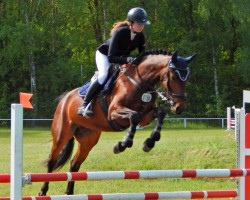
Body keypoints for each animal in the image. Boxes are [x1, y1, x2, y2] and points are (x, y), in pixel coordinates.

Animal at [38, 50, 195, 195]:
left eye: (187, 78)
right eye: (174, 76)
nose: (179, 107)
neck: (140, 83)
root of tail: (65, 98)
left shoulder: (146, 116)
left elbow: (159, 113)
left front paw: (149, 142)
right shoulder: (114, 113)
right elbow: (134, 117)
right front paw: (122, 145)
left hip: (88, 139)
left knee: (74, 163)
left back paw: (69, 193)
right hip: (61, 134)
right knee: (52, 160)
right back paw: (43, 191)